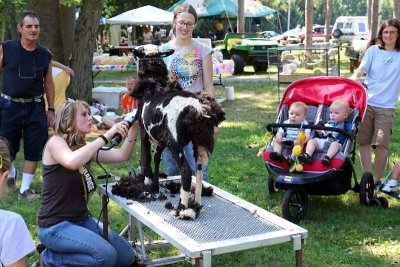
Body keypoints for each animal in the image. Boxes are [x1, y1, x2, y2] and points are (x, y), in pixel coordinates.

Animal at [132, 44, 225, 220]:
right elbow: (157, 158)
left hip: (176, 142)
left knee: (186, 171)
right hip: (200, 142)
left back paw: (182, 208)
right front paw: (155, 185)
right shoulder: (162, 139)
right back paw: (196, 204)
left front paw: (147, 183)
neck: (155, 81)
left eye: (139, 52)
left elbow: (146, 157)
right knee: (199, 169)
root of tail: (199, 108)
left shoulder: (144, 132)